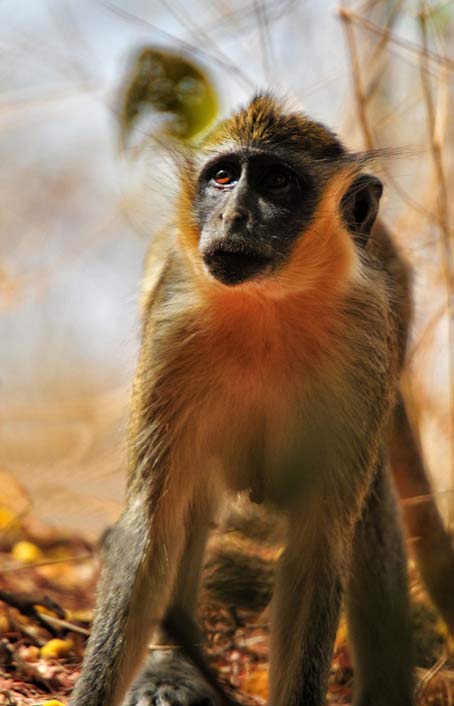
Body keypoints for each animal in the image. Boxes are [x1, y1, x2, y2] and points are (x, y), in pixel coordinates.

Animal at [70, 95, 454, 704]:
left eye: (276, 182)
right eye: (224, 177)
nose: (232, 217)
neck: (268, 305)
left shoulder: (367, 342)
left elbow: (320, 541)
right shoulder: (173, 327)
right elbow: (152, 521)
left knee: (369, 509)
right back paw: (172, 666)